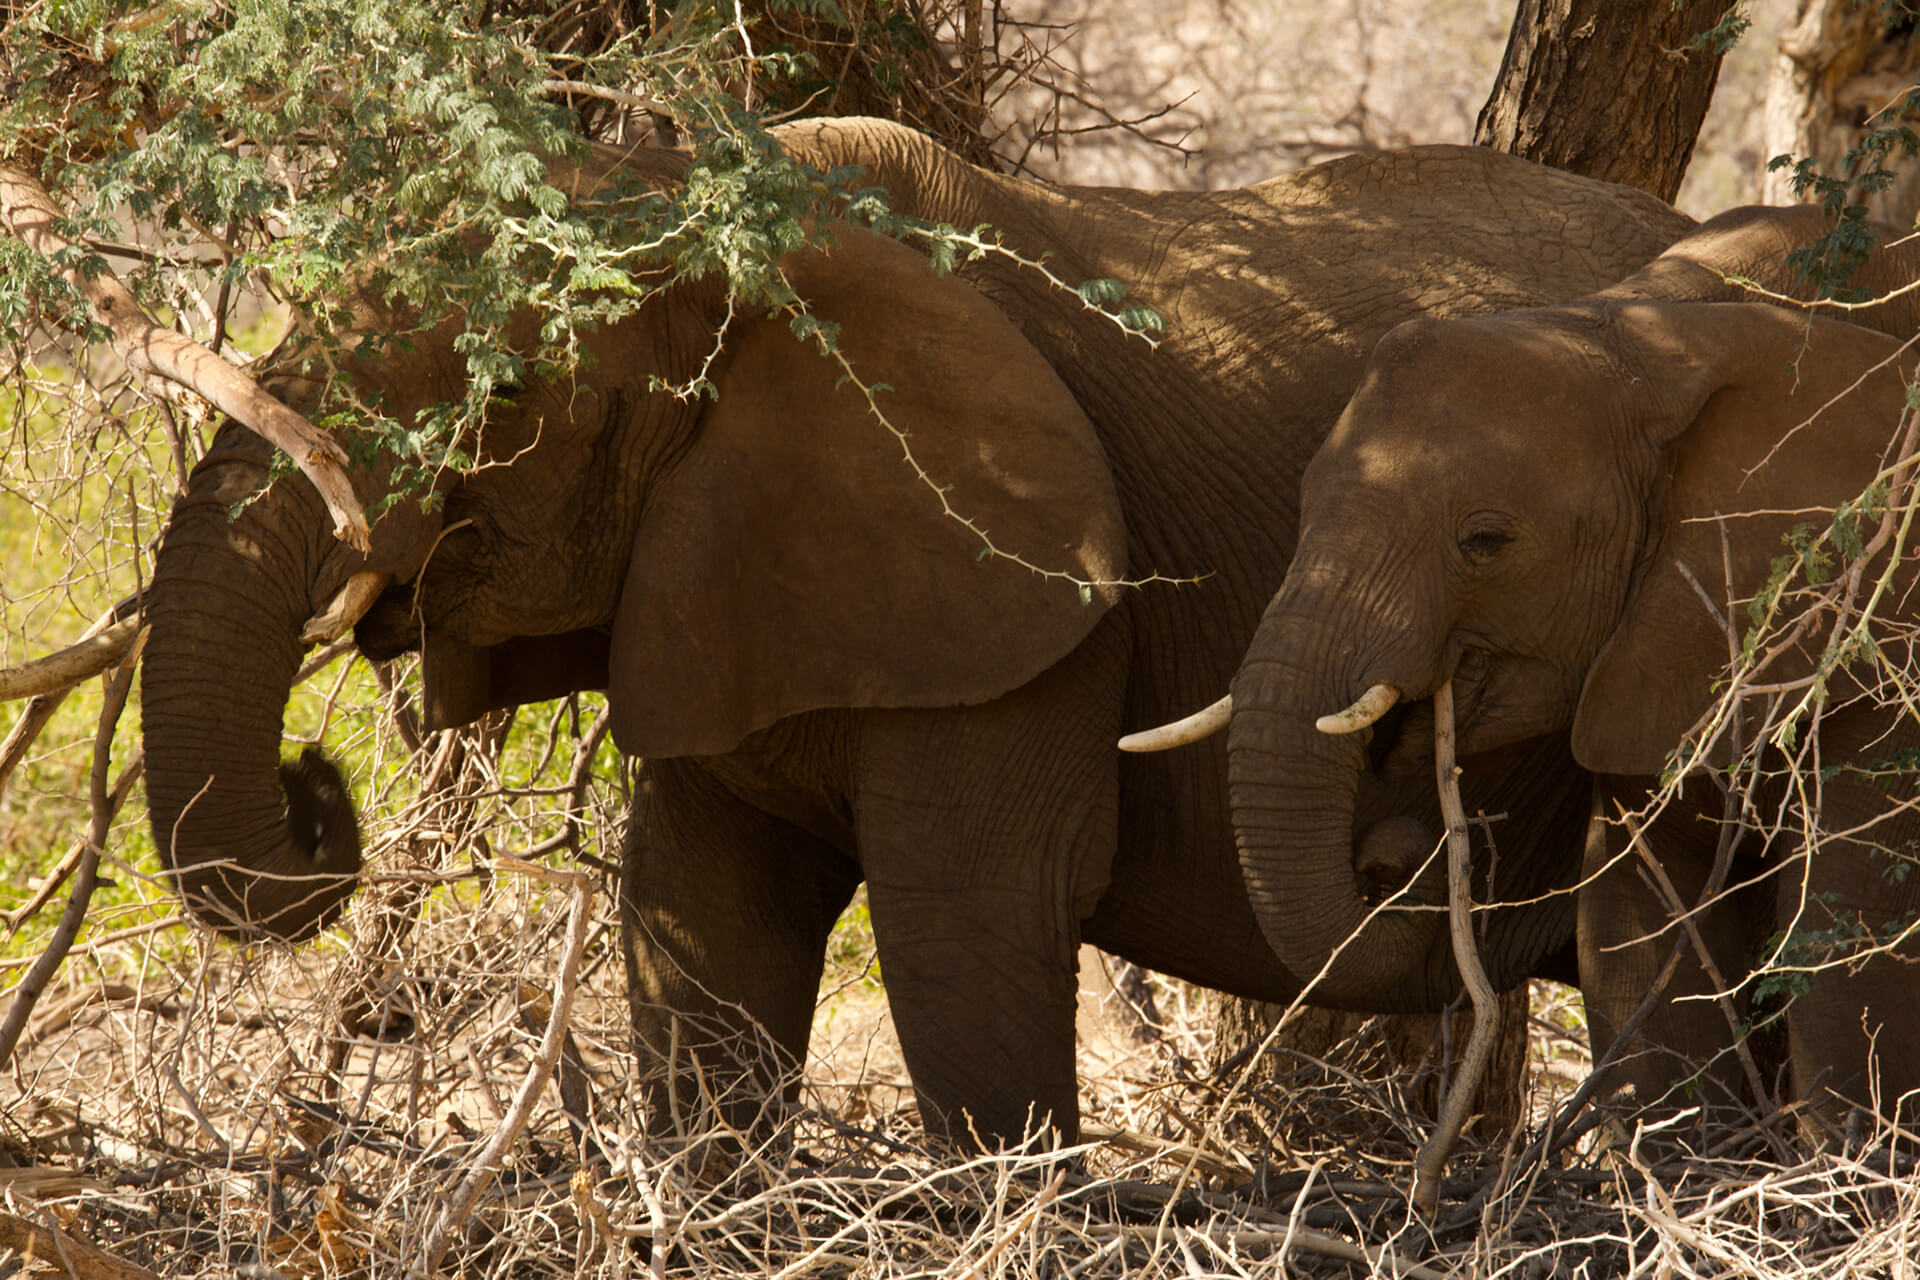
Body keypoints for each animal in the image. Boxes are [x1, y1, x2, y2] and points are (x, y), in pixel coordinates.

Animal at [139, 115, 1697, 1143]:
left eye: (508, 392)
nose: (316, 780)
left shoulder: (1024, 602)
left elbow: (971, 918)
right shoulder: (732, 579)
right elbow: (702, 914)